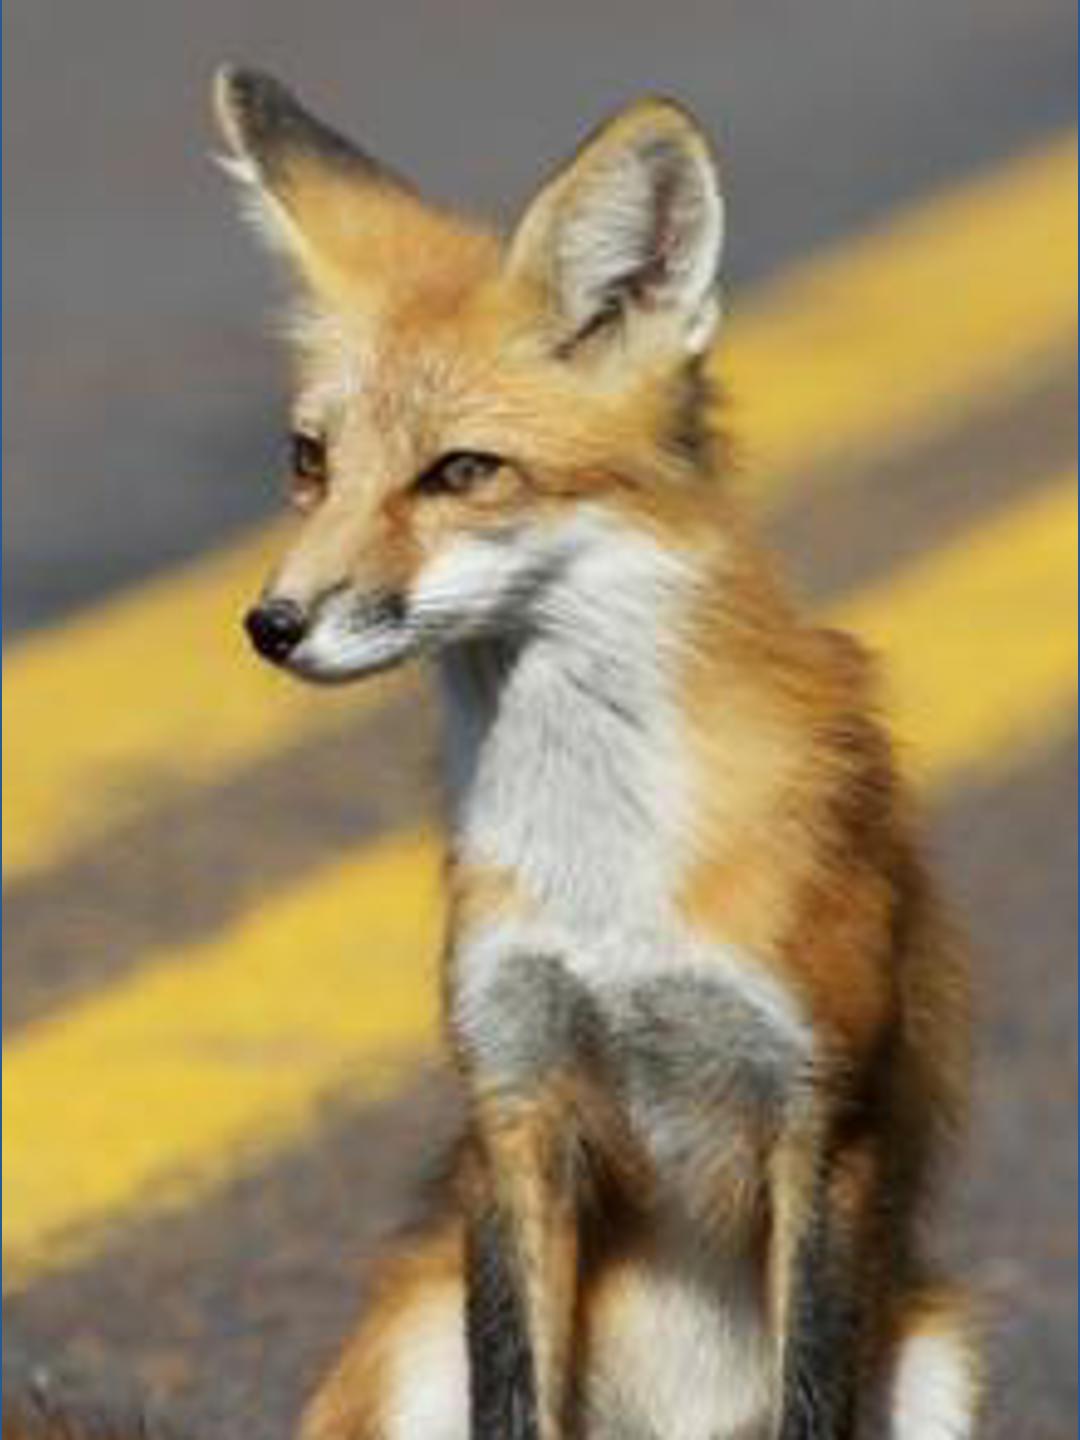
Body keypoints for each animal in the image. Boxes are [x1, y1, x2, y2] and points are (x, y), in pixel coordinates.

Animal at [213, 67, 978, 1440]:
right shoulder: (513, 1107)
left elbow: (811, 1393)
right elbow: (516, 1390)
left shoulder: (824, 1116)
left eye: (463, 471)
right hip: (414, 1340)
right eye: (310, 461)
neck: (607, 880)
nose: (273, 624)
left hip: (939, 1360)